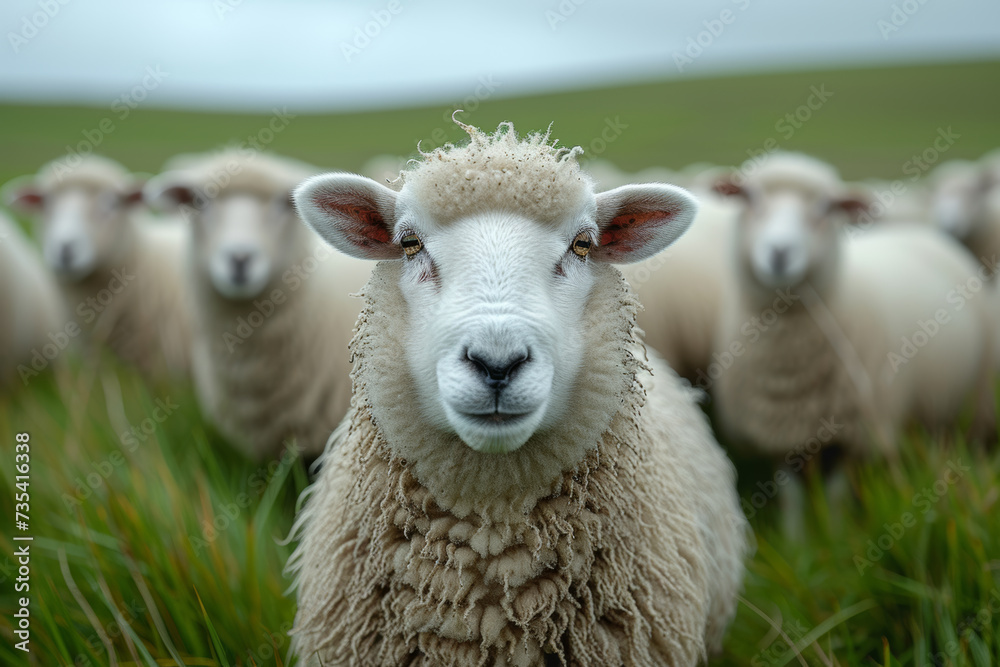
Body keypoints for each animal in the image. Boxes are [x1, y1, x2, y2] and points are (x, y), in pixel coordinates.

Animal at [712, 152, 995, 468]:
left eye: (826, 207)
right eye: (749, 197)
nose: (780, 251)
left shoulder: (856, 440)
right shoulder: (782, 439)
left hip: (976, 394)